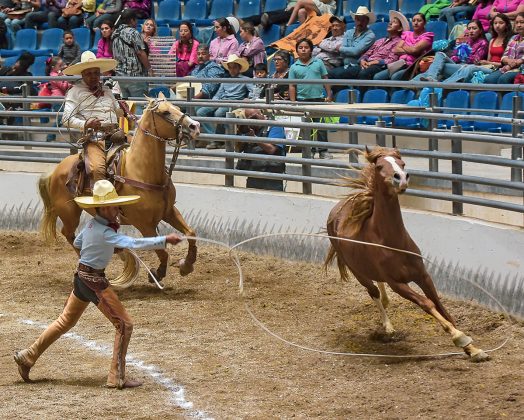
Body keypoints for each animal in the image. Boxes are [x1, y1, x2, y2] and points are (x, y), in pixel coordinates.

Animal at [38, 93, 201, 280]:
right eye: (165, 112)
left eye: (178, 108)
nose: (195, 126)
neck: (142, 171)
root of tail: (56, 170)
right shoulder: (144, 225)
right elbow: (162, 250)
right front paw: (157, 273)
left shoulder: (169, 211)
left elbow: (191, 233)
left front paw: (186, 265)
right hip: (69, 213)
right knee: (68, 233)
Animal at [326, 147, 490, 360]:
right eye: (379, 166)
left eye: (402, 163)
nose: (401, 178)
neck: (392, 240)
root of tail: (335, 212)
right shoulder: (398, 284)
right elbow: (427, 304)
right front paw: (459, 337)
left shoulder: (423, 275)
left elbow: (440, 306)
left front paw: (473, 349)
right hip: (358, 272)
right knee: (373, 292)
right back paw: (388, 327)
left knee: (379, 289)